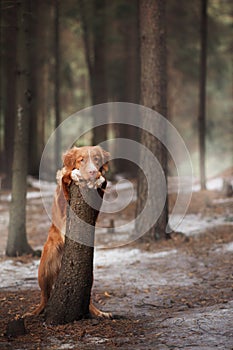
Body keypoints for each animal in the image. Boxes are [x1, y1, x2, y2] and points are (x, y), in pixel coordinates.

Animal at [29, 145, 111, 318]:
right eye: (81, 160)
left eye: (96, 159)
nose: (92, 172)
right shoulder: (62, 196)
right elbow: (65, 177)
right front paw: (75, 174)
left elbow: (103, 183)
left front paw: (99, 178)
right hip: (44, 269)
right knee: (45, 296)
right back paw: (35, 312)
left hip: (88, 274)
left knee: (86, 298)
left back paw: (99, 312)